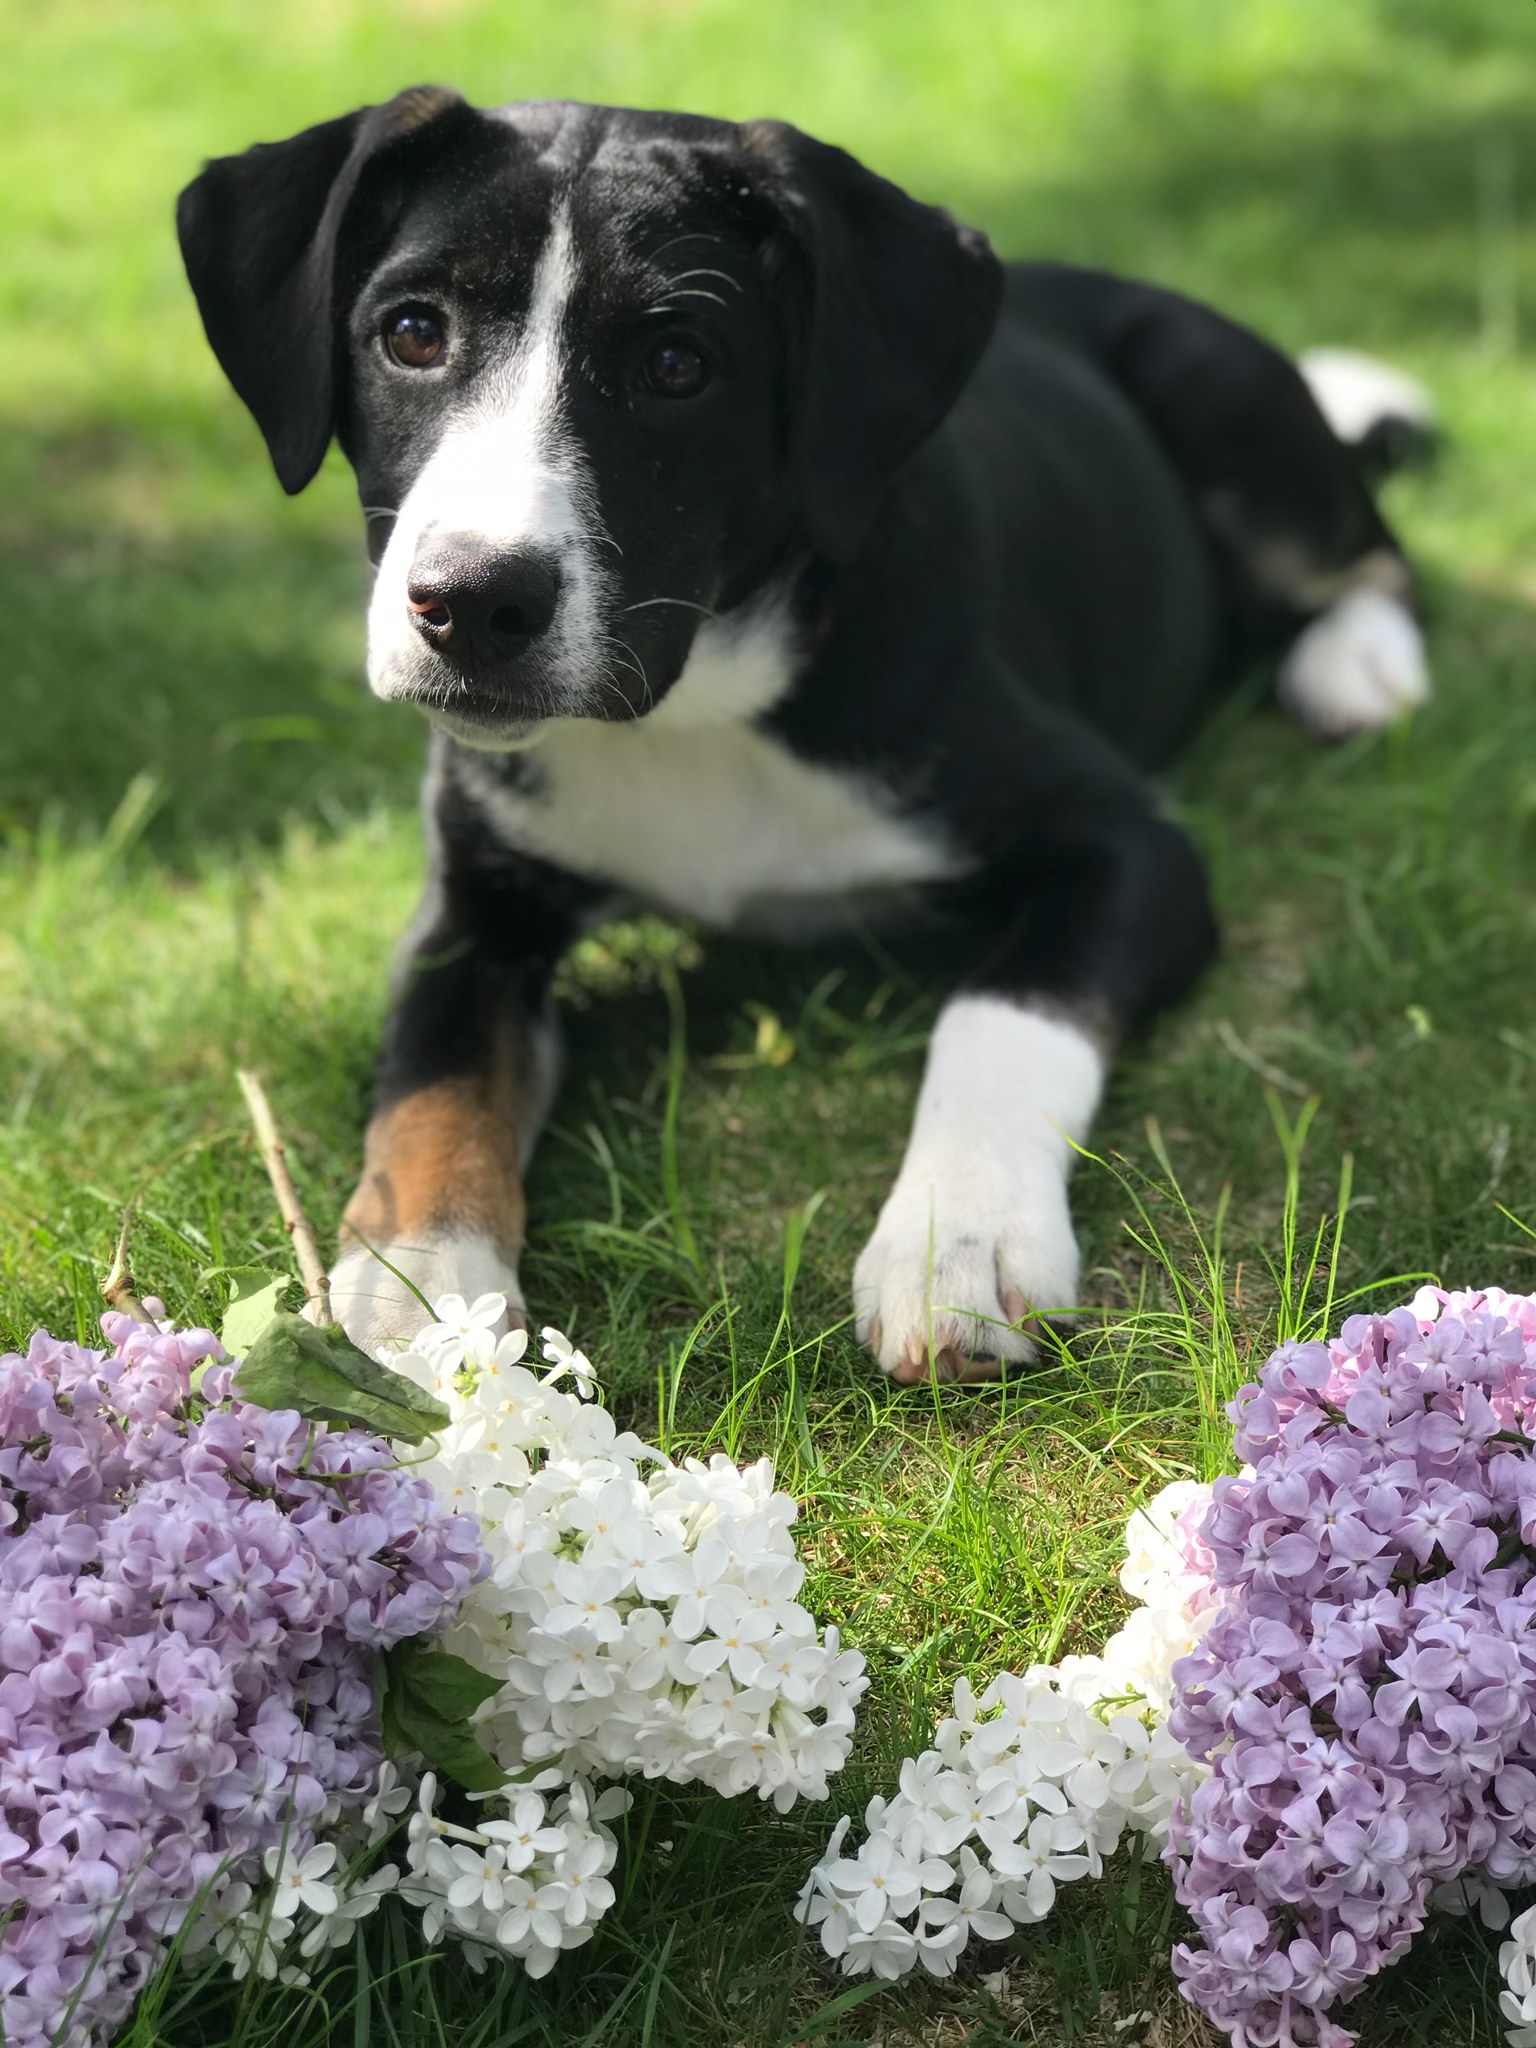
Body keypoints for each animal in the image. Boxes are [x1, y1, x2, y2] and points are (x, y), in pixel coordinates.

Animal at [178, 88, 1431, 1384]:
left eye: (677, 365)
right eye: (414, 333)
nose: (473, 602)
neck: (697, 707)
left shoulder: (1128, 842)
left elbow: (1004, 1012)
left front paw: (959, 1238)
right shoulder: (474, 901)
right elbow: (433, 1081)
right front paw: (421, 1283)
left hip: (1229, 407)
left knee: (1376, 556)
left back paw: (1358, 665)